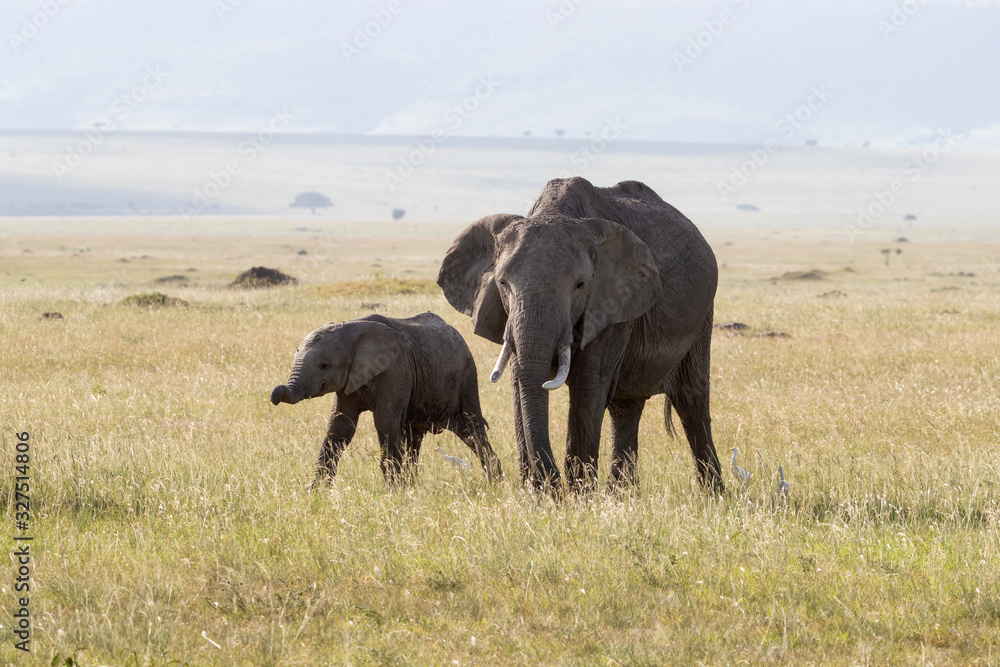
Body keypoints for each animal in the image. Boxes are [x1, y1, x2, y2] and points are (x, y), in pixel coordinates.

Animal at [270, 312, 503, 484]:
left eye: (324, 365)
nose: (276, 394)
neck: (350, 329)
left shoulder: (396, 370)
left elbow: (385, 421)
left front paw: (393, 492)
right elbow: (340, 426)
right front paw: (317, 493)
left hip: (467, 377)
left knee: (472, 430)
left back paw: (495, 485)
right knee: (414, 436)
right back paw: (413, 485)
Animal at [437, 177, 722, 493]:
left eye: (580, 284)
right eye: (502, 283)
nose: (550, 485)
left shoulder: (613, 302)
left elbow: (589, 383)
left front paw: (578, 496)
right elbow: (519, 380)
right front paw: (534, 494)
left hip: (703, 315)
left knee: (690, 399)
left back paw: (713, 494)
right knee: (626, 406)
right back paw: (620, 496)